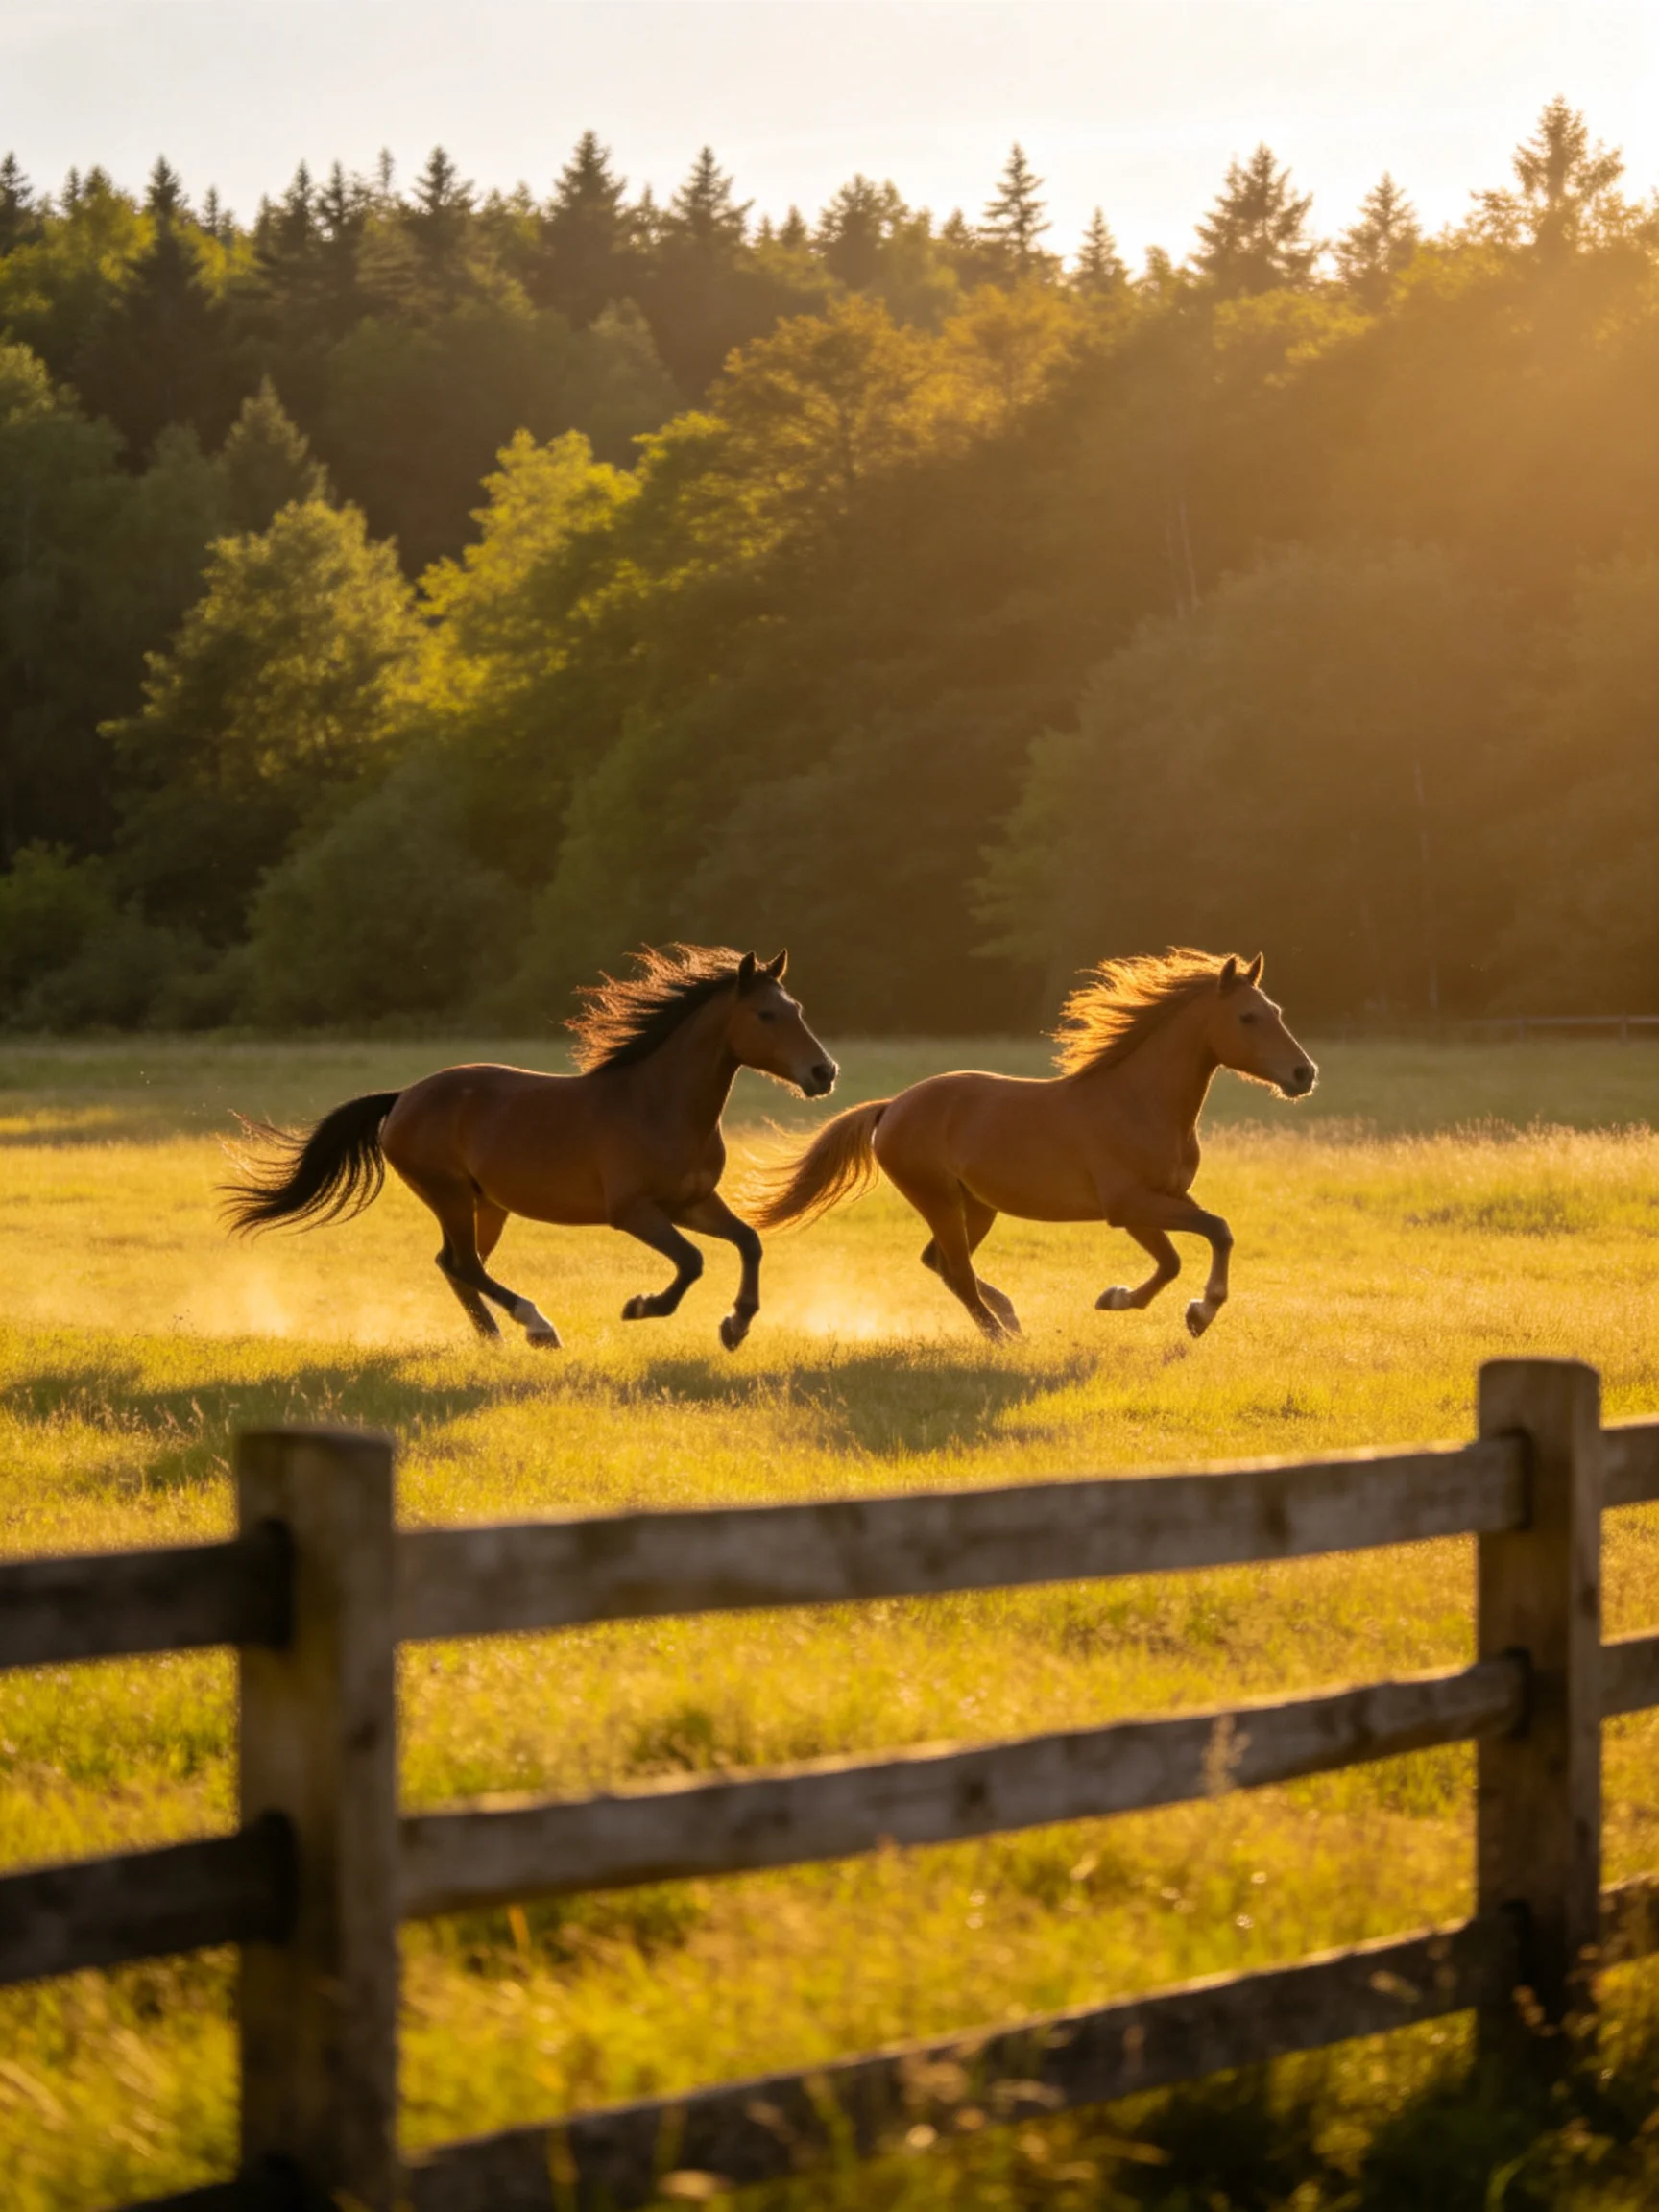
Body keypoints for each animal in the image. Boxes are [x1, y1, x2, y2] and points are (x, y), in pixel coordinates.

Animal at [222, 945, 837, 1352]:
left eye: (799, 1010)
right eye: (766, 1014)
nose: (823, 1072)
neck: (660, 1105)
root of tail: (402, 1099)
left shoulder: (691, 1203)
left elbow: (749, 1242)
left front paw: (737, 1325)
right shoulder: (634, 1212)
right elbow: (692, 1261)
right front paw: (643, 1307)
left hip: (485, 1204)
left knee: (455, 1265)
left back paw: (495, 1338)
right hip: (449, 1194)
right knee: (464, 1263)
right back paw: (537, 1326)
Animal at [748, 949, 1315, 1342]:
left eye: (1276, 1010)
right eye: (1248, 1017)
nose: (1303, 1074)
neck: (1138, 1103)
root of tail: (891, 1107)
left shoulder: (1157, 1203)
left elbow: (1185, 1253)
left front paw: (1127, 1300)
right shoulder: (1128, 1204)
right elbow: (1212, 1234)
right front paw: (1197, 1311)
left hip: (976, 1206)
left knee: (943, 1265)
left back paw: (1011, 1318)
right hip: (938, 1199)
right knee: (956, 1271)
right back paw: (1002, 1336)